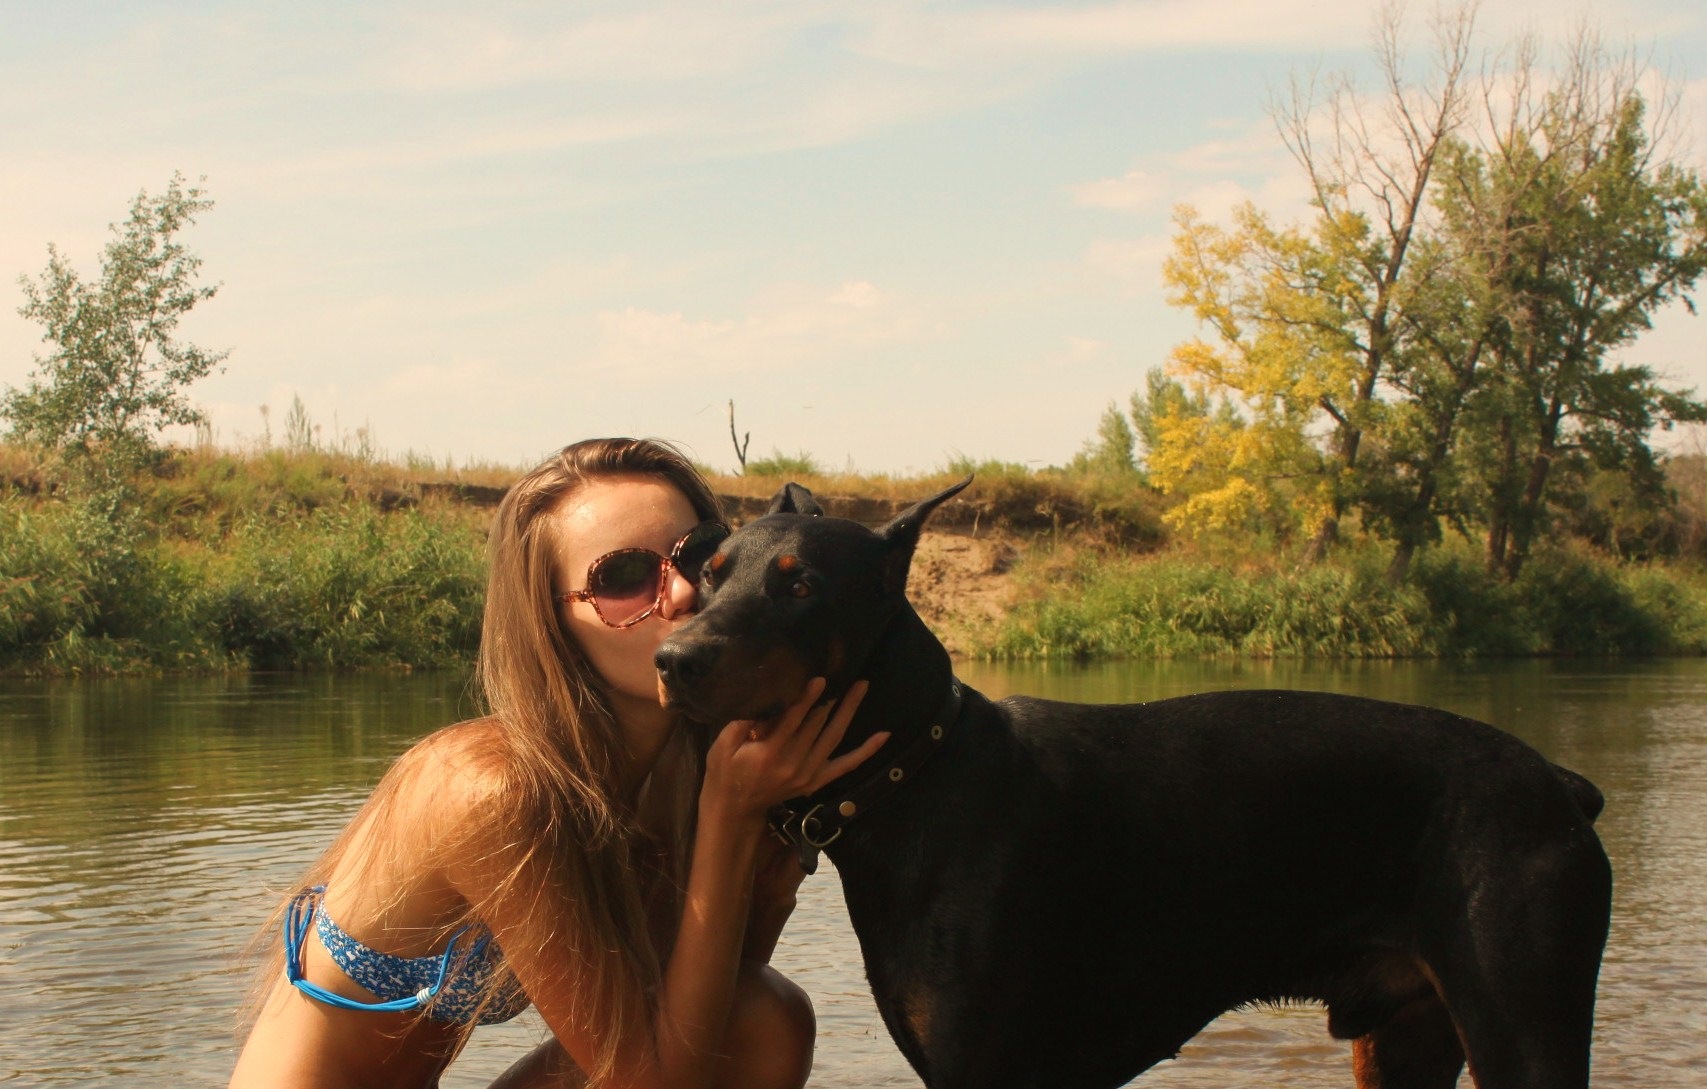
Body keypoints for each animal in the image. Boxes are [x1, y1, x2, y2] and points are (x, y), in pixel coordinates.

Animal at [655, 479, 1612, 1089]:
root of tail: (1561, 785)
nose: (672, 659)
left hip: (1521, 1027)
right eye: (707, 574)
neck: (919, 774)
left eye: (801, 585)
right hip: (1403, 1039)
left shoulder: (985, 1066)